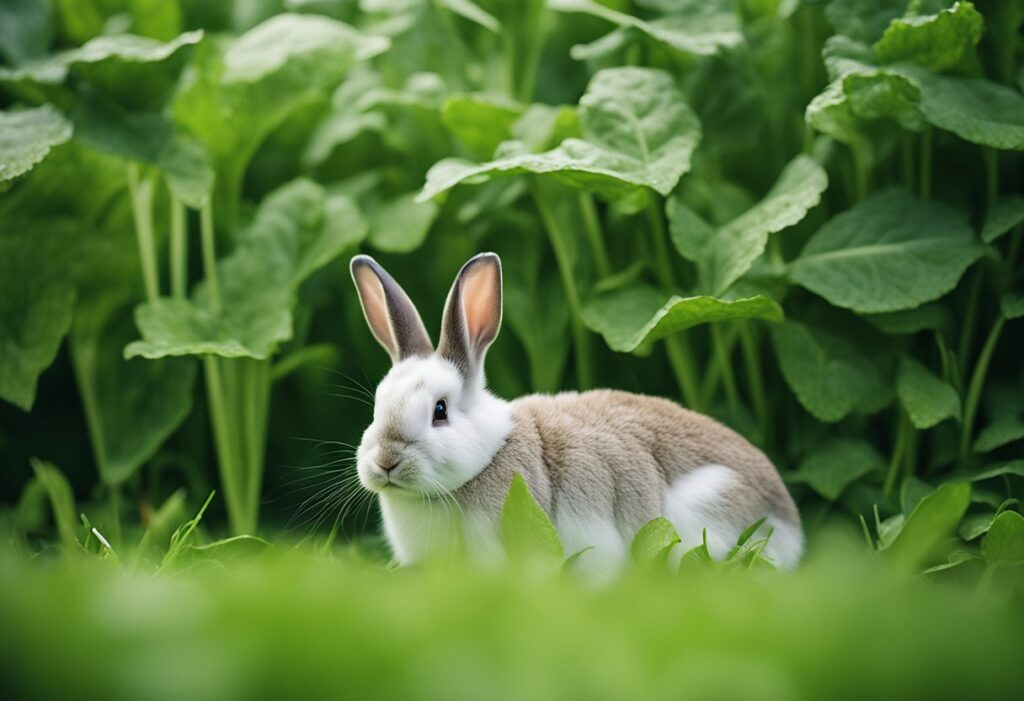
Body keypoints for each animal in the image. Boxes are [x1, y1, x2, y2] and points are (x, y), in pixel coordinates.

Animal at [352, 249, 806, 573]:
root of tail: (790, 522)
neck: (488, 456)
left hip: (706, 505)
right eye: (377, 407)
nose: (386, 461)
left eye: (440, 411)